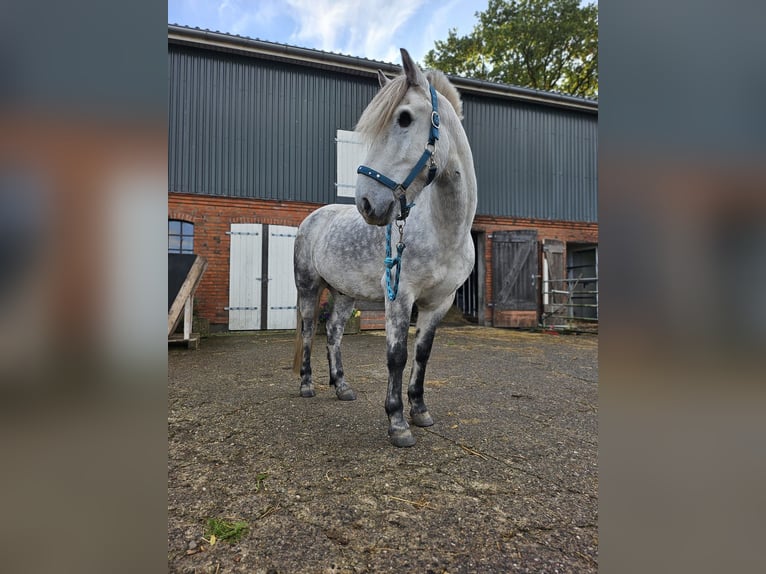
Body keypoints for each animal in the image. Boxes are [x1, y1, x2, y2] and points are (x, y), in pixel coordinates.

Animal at [292, 48, 477, 447]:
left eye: (404, 118)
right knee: (309, 329)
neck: (446, 231)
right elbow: (396, 355)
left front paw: (419, 410)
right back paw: (306, 385)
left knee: (334, 333)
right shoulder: (400, 295)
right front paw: (397, 422)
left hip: (344, 293)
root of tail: (313, 218)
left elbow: (422, 354)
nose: (366, 204)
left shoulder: (440, 302)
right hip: (308, 288)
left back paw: (342, 387)